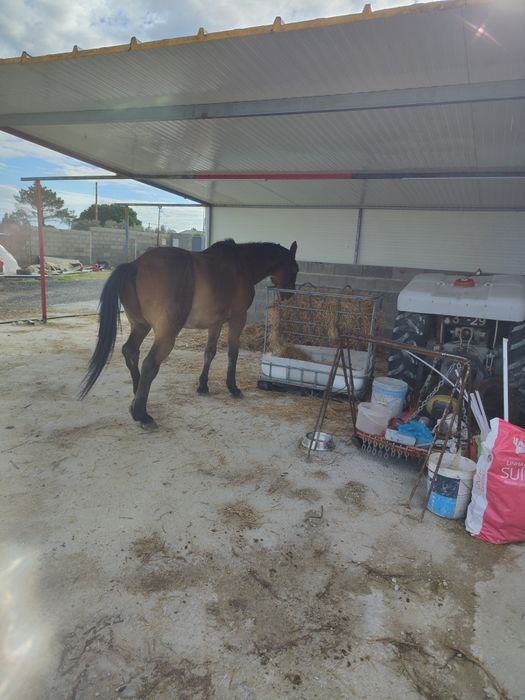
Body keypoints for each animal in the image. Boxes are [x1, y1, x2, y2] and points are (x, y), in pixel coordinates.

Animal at [80, 239, 298, 428]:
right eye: (295, 269)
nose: (289, 295)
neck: (240, 264)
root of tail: (135, 264)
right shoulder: (237, 319)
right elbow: (232, 354)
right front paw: (233, 387)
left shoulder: (215, 323)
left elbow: (209, 353)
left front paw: (203, 386)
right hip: (166, 335)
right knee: (149, 364)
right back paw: (142, 414)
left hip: (141, 326)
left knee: (130, 352)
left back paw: (136, 395)